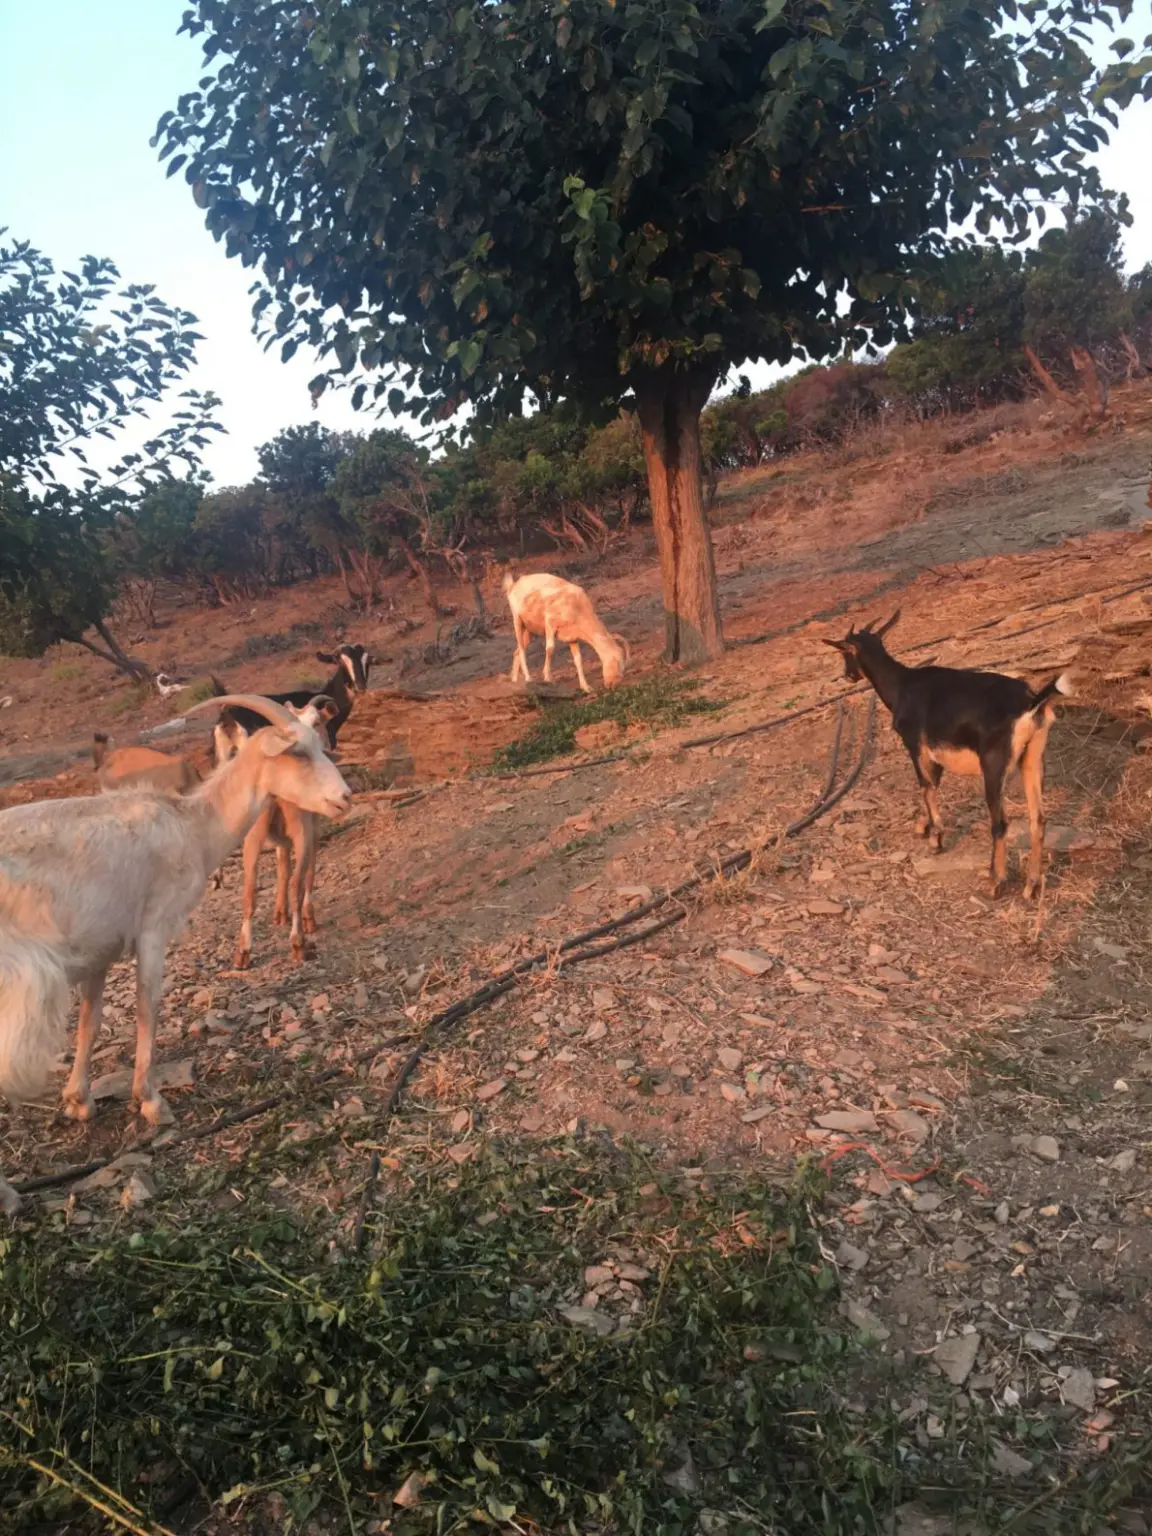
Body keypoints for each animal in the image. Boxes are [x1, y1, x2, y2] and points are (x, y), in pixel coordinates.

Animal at [220, 696, 341, 970]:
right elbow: (306, 874)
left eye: (316, 722)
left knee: (249, 888)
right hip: (301, 828)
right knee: (297, 882)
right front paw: (308, 918)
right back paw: (298, 943)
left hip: (253, 834)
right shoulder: (312, 829)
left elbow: (282, 868)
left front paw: (279, 914)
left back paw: (243, 952)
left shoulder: (279, 840)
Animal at [824, 611, 1073, 899]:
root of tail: (1031, 703)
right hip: (1032, 759)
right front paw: (925, 827)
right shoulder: (936, 753)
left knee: (1001, 823)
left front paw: (935, 838)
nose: (847, 675)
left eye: (845, 652)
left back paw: (995, 881)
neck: (902, 686)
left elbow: (926, 786)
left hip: (994, 765)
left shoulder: (915, 745)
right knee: (1038, 819)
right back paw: (1031, 885)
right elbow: (934, 784)